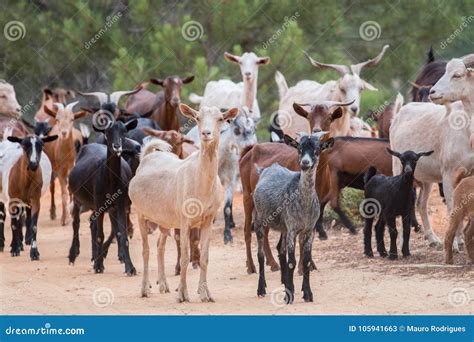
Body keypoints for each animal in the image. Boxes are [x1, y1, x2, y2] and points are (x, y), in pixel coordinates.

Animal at [130, 103, 239, 302]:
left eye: (221, 118)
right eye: (197, 118)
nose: (206, 133)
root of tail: (147, 157)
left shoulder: (208, 219)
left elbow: (204, 257)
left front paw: (205, 293)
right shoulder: (185, 219)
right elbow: (185, 257)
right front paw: (182, 294)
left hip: (164, 220)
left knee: (160, 246)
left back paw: (163, 285)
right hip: (141, 213)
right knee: (146, 250)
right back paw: (145, 288)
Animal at [252, 132, 334, 304]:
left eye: (317, 149)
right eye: (299, 149)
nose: (305, 163)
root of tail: (265, 170)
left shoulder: (309, 230)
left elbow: (306, 261)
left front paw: (307, 293)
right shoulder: (292, 229)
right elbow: (292, 262)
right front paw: (288, 296)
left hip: (283, 227)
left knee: (280, 250)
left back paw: (285, 282)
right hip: (259, 221)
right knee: (261, 255)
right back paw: (261, 288)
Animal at [388, 54, 474, 248]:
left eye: (457, 74)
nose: (433, 92)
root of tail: (398, 114)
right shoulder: (449, 174)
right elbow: (452, 206)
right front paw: (456, 242)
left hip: (425, 178)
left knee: (421, 203)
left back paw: (432, 238)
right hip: (397, 167)